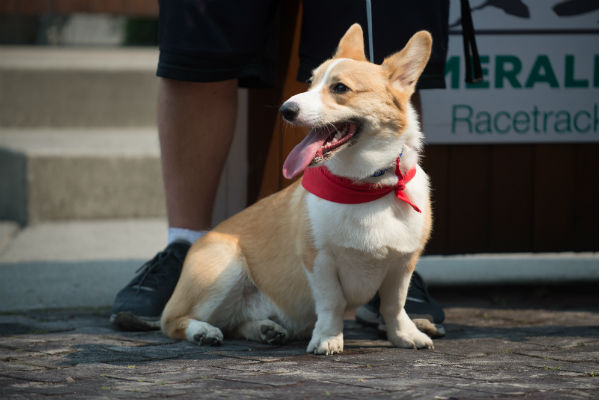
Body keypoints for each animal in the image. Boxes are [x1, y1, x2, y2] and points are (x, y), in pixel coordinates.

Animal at [163, 24, 436, 354]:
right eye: (310, 81)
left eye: (340, 88)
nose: (285, 109)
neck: (366, 186)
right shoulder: (319, 260)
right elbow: (332, 304)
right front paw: (328, 339)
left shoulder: (401, 263)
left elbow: (394, 305)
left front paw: (404, 335)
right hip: (223, 267)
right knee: (174, 322)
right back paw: (203, 331)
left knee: (237, 324)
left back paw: (265, 329)